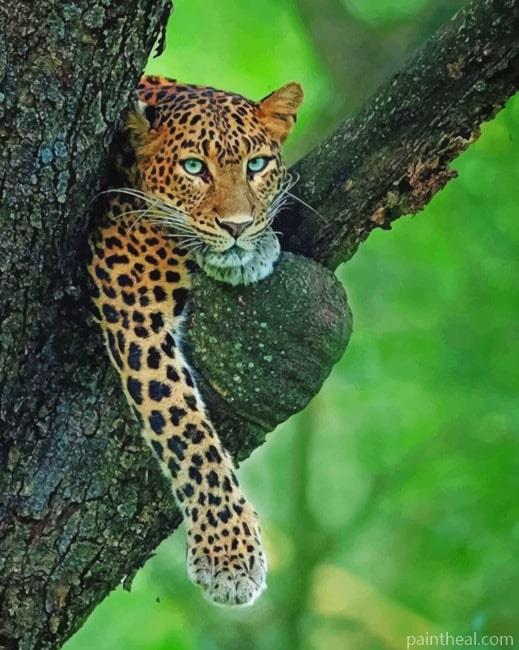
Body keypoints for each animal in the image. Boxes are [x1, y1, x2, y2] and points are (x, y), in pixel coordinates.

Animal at [86, 75, 303, 606]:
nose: (237, 227)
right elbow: (187, 432)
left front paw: (257, 247)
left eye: (256, 165)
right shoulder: (137, 315)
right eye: (193, 168)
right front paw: (229, 556)